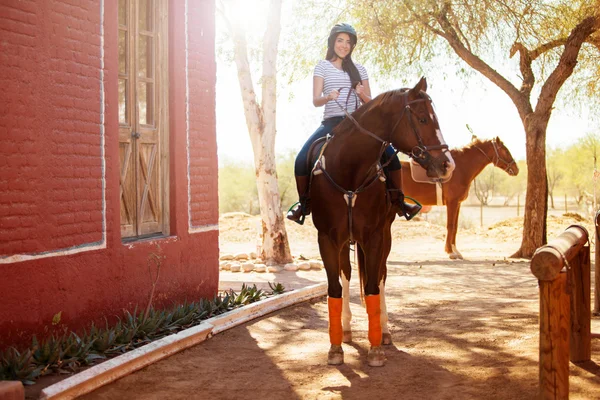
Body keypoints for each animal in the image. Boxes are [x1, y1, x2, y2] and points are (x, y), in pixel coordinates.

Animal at [310, 76, 454, 368]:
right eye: (423, 118)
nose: (447, 165)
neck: (350, 170)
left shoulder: (374, 236)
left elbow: (373, 285)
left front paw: (376, 348)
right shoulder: (328, 238)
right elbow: (335, 287)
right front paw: (335, 348)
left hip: (384, 237)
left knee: (382, 276)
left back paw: (384, 332)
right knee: (347, 275)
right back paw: (346, 329)